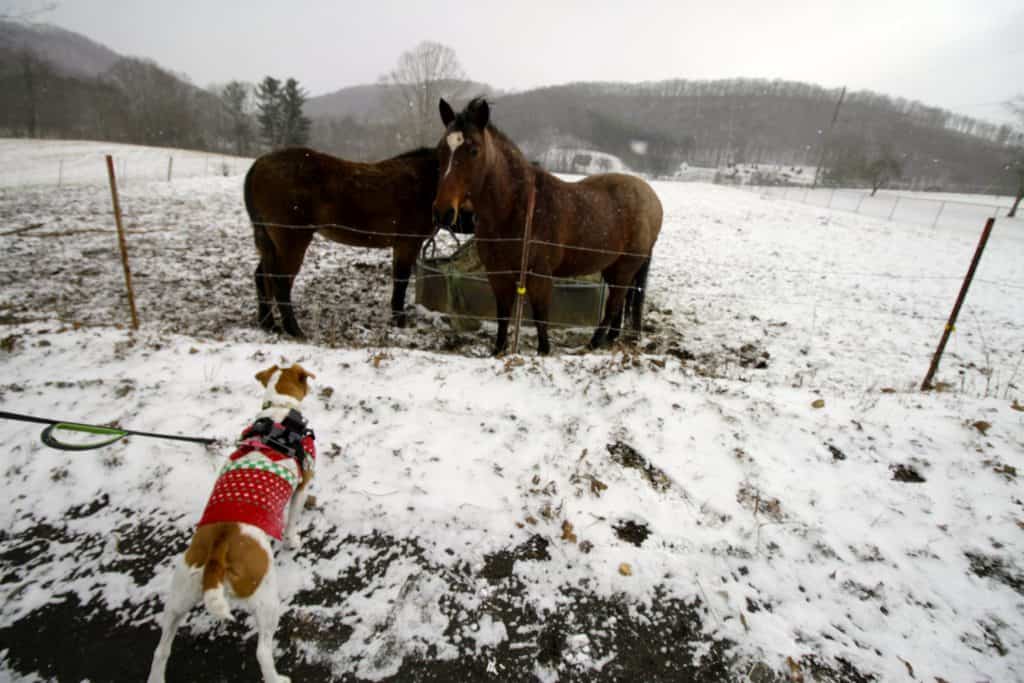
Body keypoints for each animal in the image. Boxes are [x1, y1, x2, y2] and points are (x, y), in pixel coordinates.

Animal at [148, 360, 315, 679]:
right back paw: (278, 678)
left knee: (161, 649)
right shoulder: (303, 485)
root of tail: (218, 551)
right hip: (266, 598)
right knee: (262, 652)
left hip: (180, 594)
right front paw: (293, 541)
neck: (279, 411)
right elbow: (291, 520)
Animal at [245, 147, 473, 335]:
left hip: (270, 242)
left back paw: (268, 324)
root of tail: (258, 165)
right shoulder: (406, 243)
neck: (426, 182)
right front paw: (399, 321)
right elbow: (401, 281)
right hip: (292, 242)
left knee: (262, 277)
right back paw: (294, 330)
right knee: (280, 281)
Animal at [430, 100, 663, 358]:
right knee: (619, 304)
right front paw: (498, 351)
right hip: (614, 267)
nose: (442, 212)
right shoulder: (497, 274)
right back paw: (609, 339)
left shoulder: (539, 276)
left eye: (474, 150)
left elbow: (541, 316)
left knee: (614, 305)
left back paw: (593, 343)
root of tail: (652, 197)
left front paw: (543, 351)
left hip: (625, 268)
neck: (517, 208)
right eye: (441, 150)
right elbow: (503, 315)